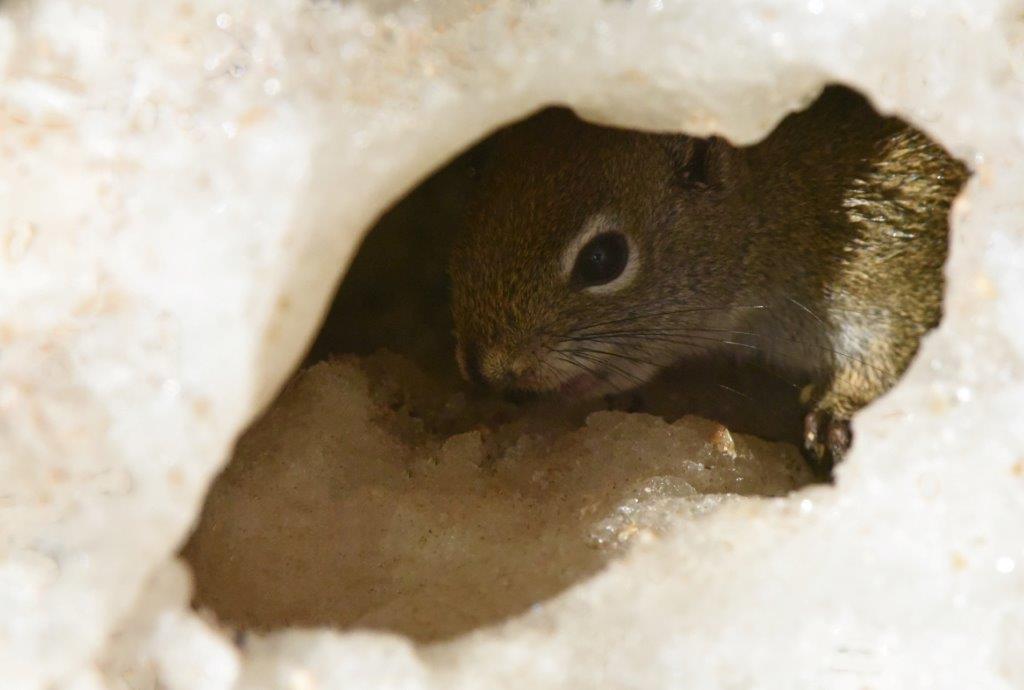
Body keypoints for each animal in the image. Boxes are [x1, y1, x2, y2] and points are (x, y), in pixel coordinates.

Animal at [448, 87, 967, 474]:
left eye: (602, 260)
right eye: (473, 201)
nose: (488, 370)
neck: (781, 198)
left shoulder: (888, 253)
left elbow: (897, 335)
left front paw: (841, 406)